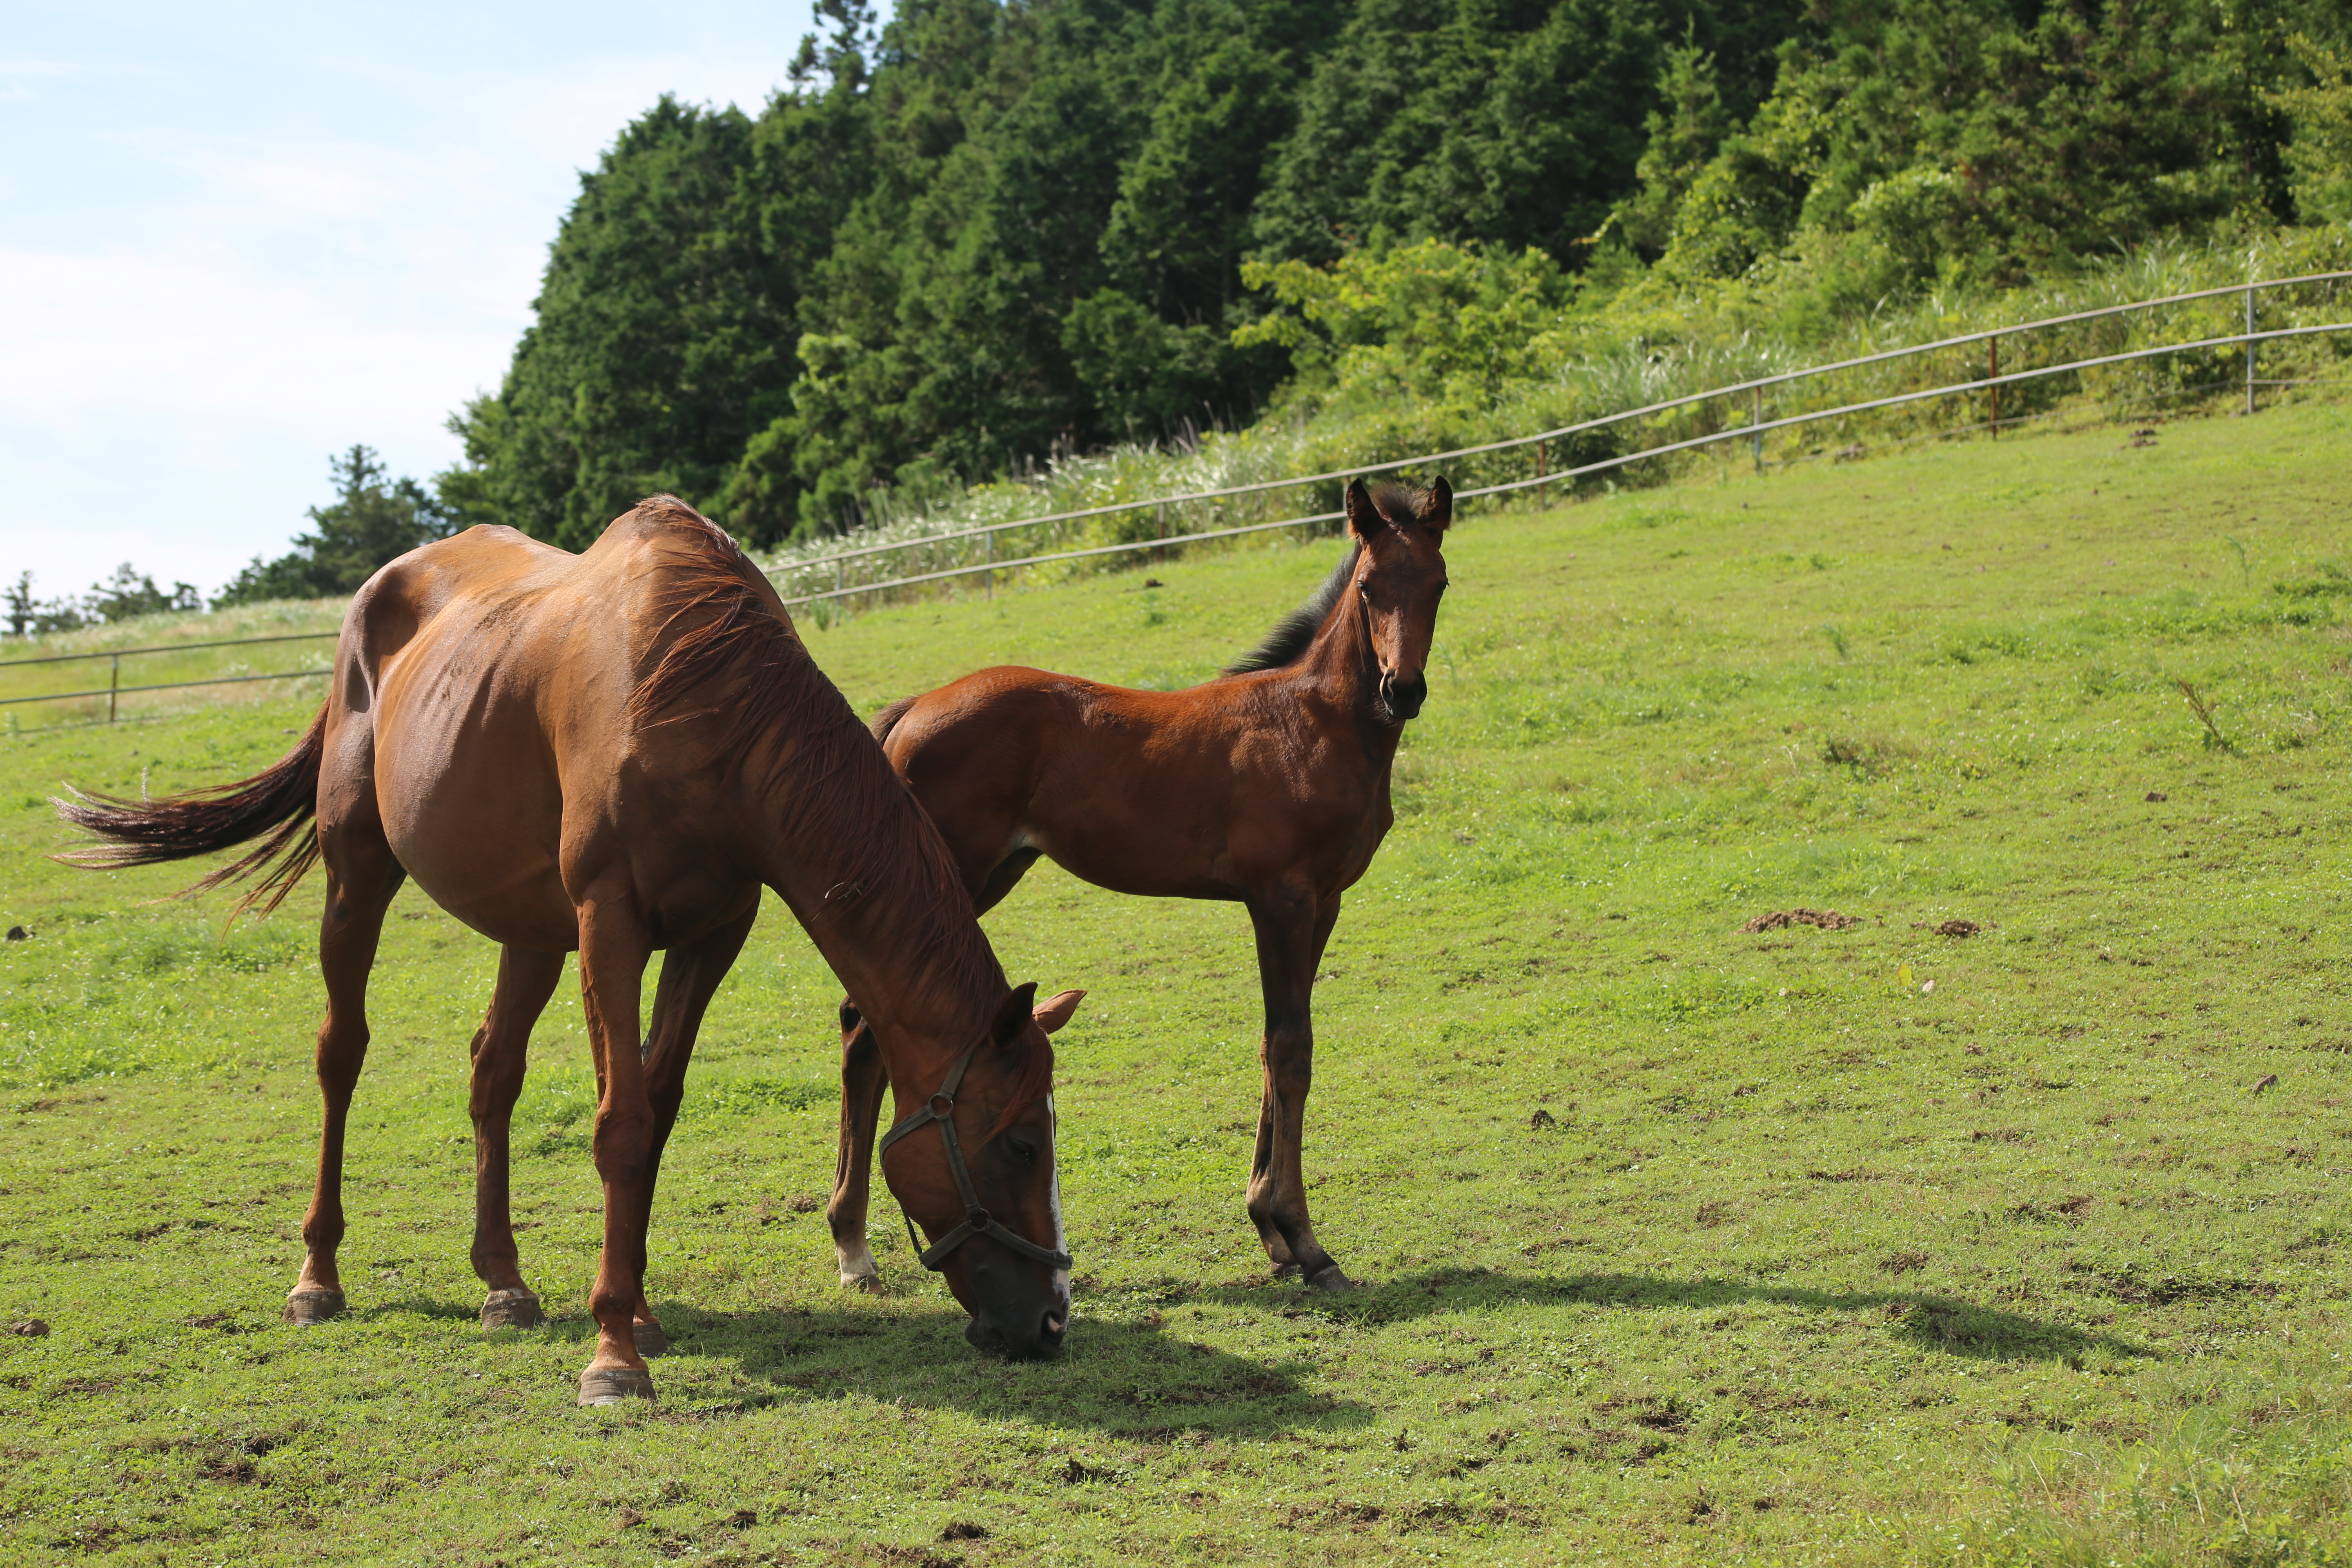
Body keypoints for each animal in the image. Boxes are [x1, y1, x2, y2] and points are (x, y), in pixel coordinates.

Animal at [55, 501, 1082, 1401]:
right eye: (1021, 1141)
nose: (1049, 1322)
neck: (704, 699)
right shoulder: (610, 922)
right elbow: (618, 1123)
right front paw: (614, 1356)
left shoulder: (709, 934)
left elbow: (654, 1113)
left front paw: (637, 1313)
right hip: (359, 878)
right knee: (340, 1054)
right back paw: (319, 1276)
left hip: (530, 932)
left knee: (490, 1072)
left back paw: (502, 1283)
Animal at [828, 484, 1449, 1297]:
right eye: (1370, 587)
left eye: (1438, 584)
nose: (1402, 689)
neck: (1313, 725)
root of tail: (912, 711)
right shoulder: (1280, 900)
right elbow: (1290, 1048)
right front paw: (1305, 1241)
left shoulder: (1325, 902)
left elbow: (1277, 1045)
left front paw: (1271, 1231)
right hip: (952, 876)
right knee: (865, 1028)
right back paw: (852, 1249)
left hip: (995, 872)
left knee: (860, 1026)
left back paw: (853, 1241)